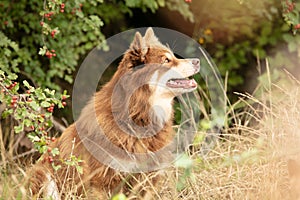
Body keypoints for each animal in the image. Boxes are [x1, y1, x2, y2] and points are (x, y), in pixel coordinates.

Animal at [28, 27, 200, 198]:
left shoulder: (147, 180)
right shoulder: (101, 183)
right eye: (166, 60)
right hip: (42, 175)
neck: (136, 116)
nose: (197, 61)